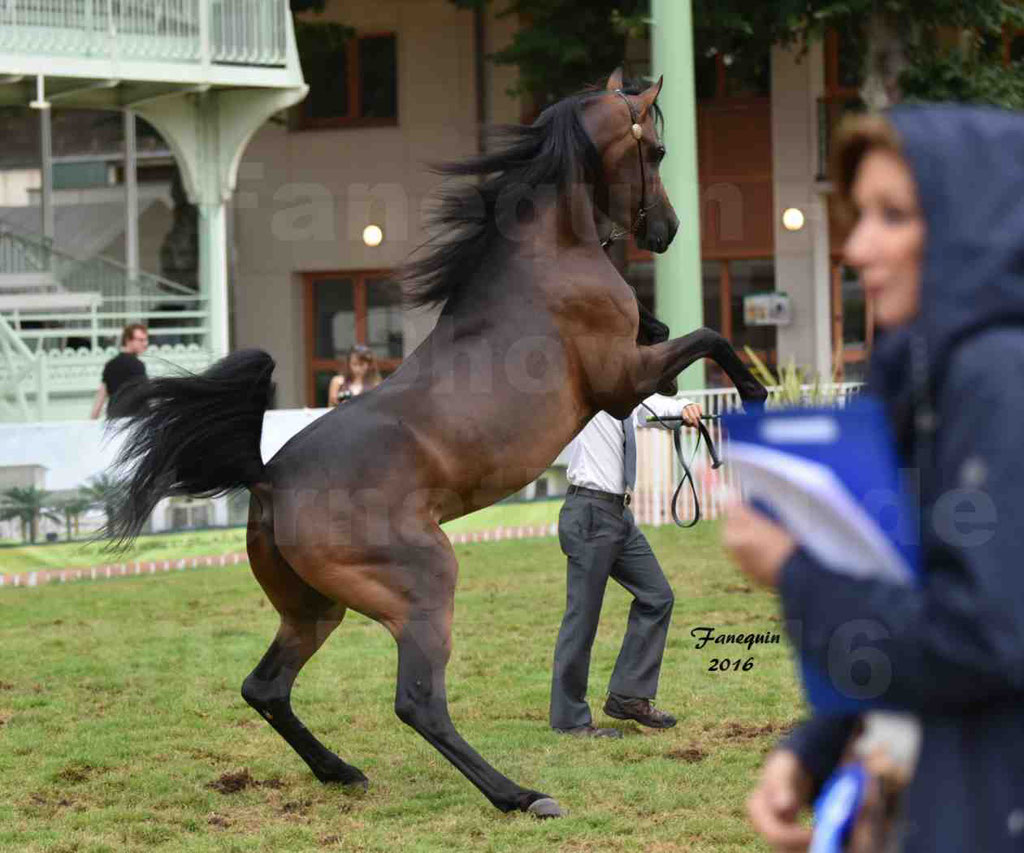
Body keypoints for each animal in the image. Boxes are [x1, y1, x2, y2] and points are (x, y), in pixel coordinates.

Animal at [112, 71, 765, 819]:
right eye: (656, 151)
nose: (668, 230)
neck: (547, 256)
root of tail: (268, 478)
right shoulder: (622, 382)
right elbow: (711, 335)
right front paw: (757, 393)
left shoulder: (633, 371)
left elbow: (679, 334)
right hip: (424, 584)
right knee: (417, 702)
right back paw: (520, 795)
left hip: (314, 609)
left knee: (265, 687)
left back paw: (341, 770)